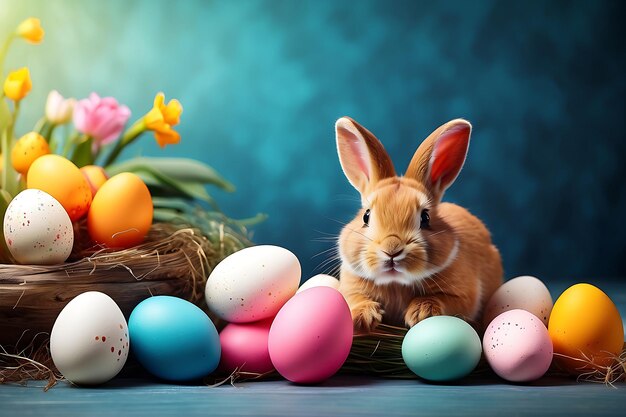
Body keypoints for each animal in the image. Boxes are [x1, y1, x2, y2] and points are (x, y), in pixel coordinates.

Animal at [334, 116, 500, 332]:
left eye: (425, 218)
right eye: (366, 216)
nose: (392, 249)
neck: (395, 283)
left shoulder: (463, 296)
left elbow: (446, 300)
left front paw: (421, 312)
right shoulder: (350, 287)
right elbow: (353, 299)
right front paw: (362, 317)